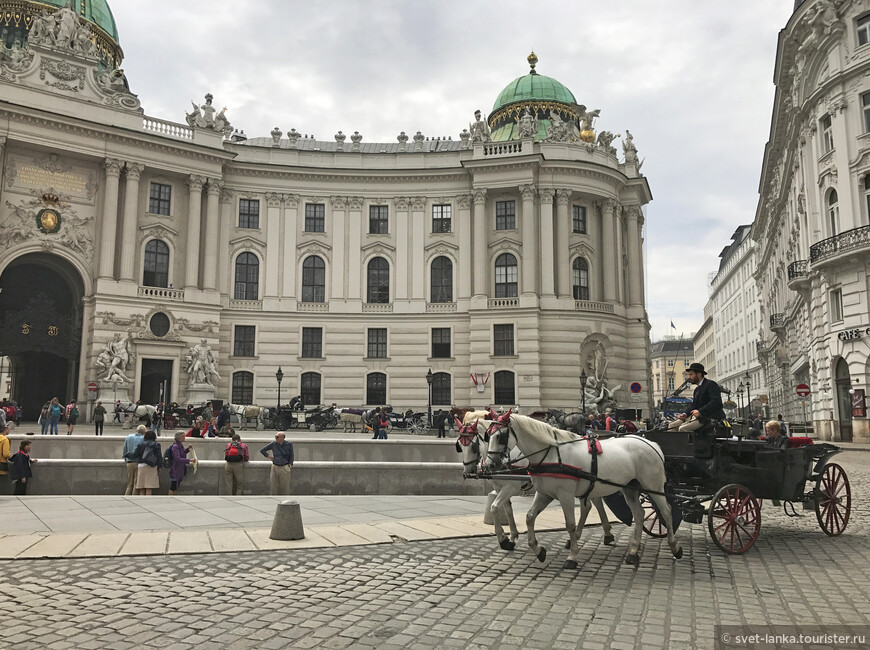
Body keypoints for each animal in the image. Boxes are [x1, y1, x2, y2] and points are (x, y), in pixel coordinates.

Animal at [460, 420, 616, 552]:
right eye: (460, 446)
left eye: (473, 446)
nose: (468, 471)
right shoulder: (499, 488)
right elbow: (507, 510)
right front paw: (512, 537)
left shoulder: (511, 487)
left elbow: (494, 507)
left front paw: (503, 539)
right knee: (590, 504)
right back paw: (599, 534)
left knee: (592, 504)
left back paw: (601, 534)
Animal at [484, 412, 680, 564]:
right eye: (487, 435)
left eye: (500, 436)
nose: (490, 465)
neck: (552, 454)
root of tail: (651, 444)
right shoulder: (544, 493)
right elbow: (529, 517)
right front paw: (538, 550)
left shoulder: (565, 495)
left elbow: (570, 525)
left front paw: (572, 557)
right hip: (630, 488)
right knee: (639, 514)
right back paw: (633, 552)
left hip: (653, 485)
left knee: (666, 511)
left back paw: (675, 547)